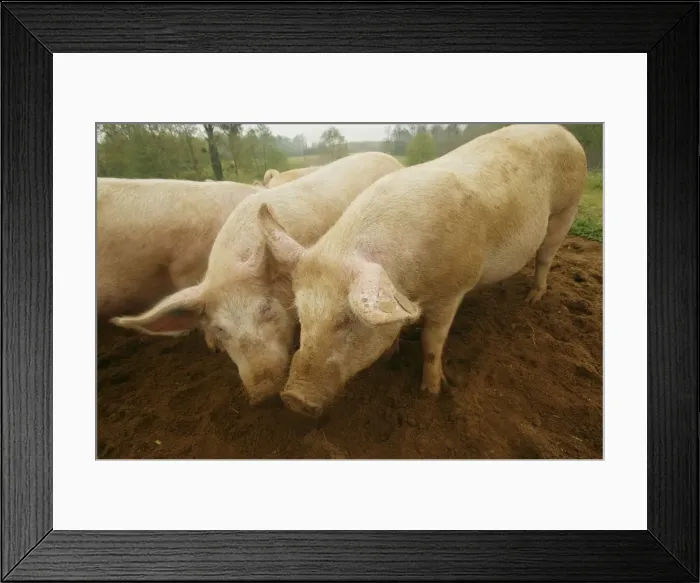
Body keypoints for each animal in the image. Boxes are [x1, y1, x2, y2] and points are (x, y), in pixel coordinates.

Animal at [257, 124, 588, 418]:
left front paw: (430, 393)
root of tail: (566, 133)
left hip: (567, 208)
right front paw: (391, 354)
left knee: (546, 255)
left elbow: (432, 342)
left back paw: (532, 299)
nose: (293, 397)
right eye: (302, 317)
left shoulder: (453, 289)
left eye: (347, 319)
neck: (410, 283)